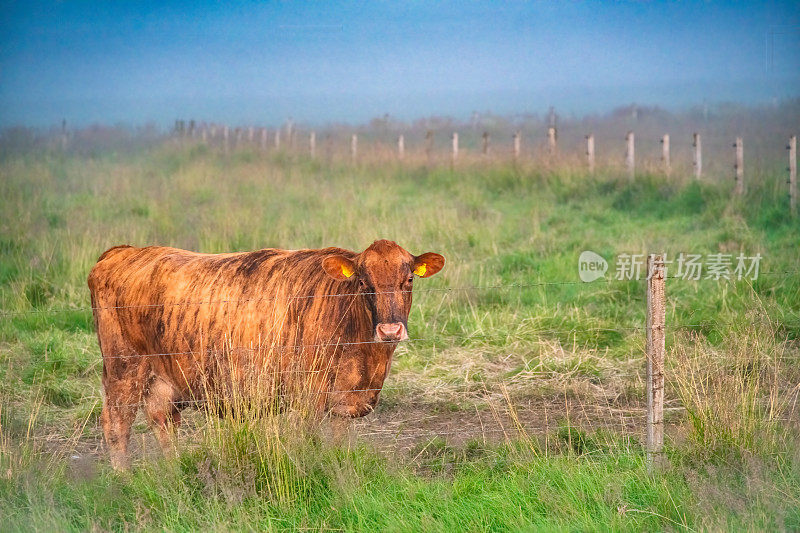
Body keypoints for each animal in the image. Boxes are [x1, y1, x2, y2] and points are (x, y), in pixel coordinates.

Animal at [92, 239, 450, 468]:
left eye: (408, 279)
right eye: (363, 283)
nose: (390, 330)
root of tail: (123, 252)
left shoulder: (344, 401)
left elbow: (337, 445)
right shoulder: (308, 396)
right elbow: (307, 444)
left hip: (163, 378)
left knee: (163, 420)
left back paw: (173, 474)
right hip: (124, 368)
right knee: (116, 424)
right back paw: (124, 480)